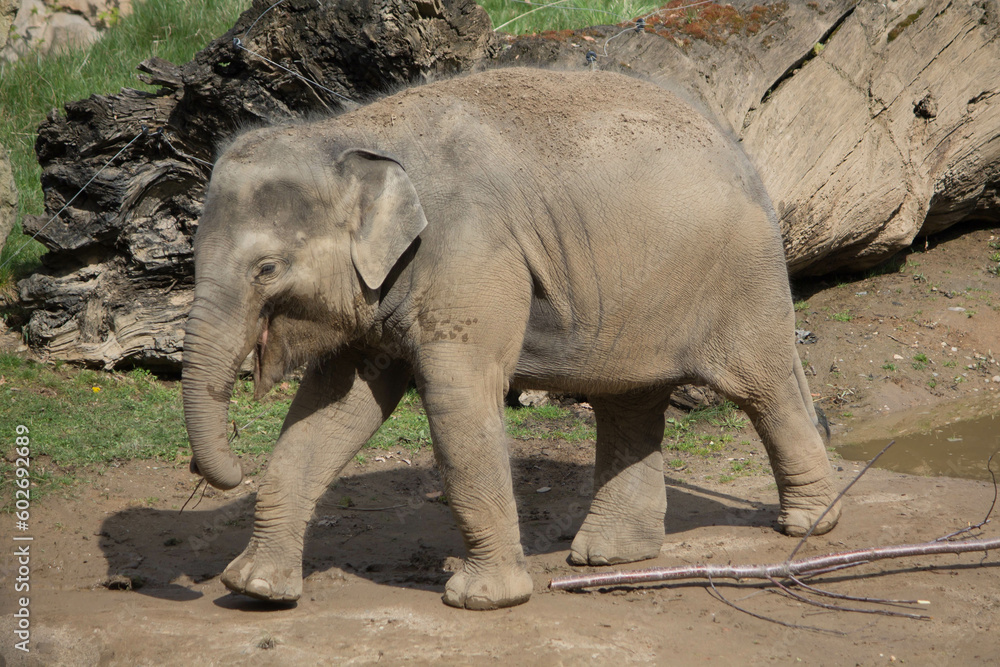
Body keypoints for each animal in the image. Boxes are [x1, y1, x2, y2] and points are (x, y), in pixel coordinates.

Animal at [182, 67, 841, 610]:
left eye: (267, 268)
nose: (227, 468)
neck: (350, 132)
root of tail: (738, 147)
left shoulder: (471, 250)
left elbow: (457, 397)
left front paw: (481, 599)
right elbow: (334, 411)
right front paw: (254, 588)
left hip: (741, 276)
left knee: (763, 388)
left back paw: (807, 526)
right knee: (629, 402)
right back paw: (608, 556)